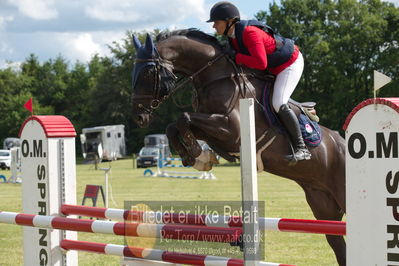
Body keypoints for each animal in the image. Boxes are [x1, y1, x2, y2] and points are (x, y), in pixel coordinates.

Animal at [132, 30, 346, 264]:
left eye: (147, 73)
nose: (139, 116)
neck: (215, 77)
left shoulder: (230, 130)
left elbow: (183, 118)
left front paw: (198, 154)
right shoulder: (211, 126)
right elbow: (174, 126)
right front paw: (196, 157)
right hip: (324, 207)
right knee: (339, 244)